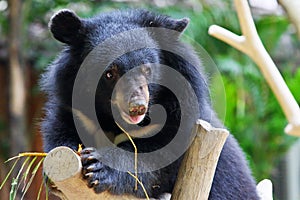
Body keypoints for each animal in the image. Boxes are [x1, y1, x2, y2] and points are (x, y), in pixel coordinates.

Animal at [41, 8, 258, 199]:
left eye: (147, 69)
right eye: (110, 73)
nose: (137, 106)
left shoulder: (180, 118)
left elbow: (158, 157)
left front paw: (99, 168)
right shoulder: (76, 111)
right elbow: (60, 134)